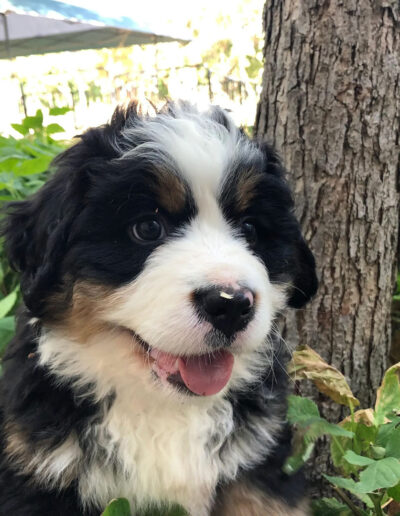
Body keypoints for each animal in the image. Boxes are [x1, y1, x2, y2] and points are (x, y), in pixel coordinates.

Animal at [0, 102, 318, 516]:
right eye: (147, 228)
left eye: (250, 229)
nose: (231, 304)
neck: (161, 408)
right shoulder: (36, 468)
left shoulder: (259, 469)